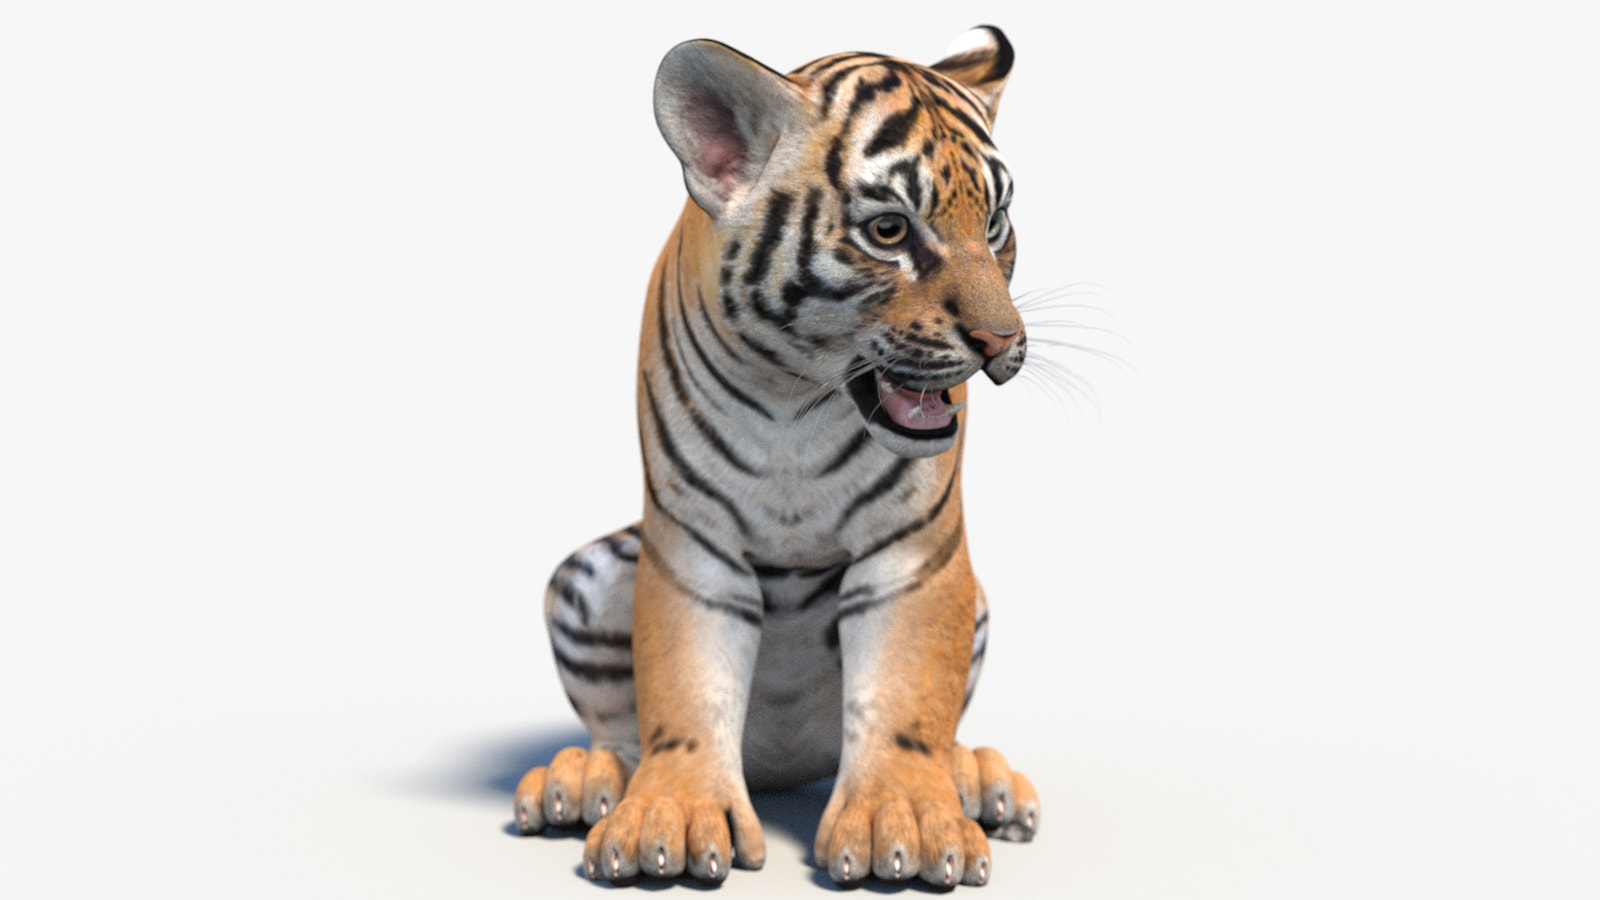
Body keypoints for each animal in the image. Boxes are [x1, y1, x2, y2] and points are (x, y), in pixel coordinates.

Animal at [514, 25, 1041, 888]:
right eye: (889, 231)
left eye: (995, 222)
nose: (1002, 343)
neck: (798, 396)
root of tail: (781, 769)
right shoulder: (694, 546)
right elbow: (686, 689)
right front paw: (669, 820)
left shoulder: (913, 552)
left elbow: (907, 698)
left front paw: (910, 821)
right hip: (587, 576)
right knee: (619, 729)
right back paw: (583, 778)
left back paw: (977, 775)